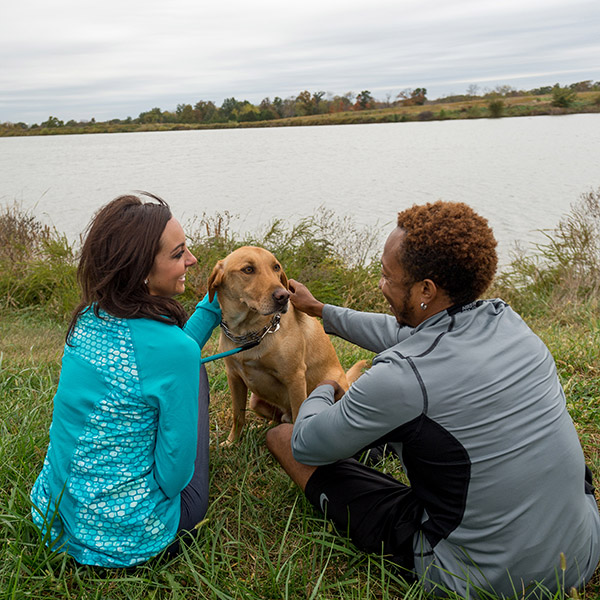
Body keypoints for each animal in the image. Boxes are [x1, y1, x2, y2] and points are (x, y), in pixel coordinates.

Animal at [206, 245, 366, 446]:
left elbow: (299, 415)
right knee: (278, 419)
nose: (284, 296)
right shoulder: (234, 377)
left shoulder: (295, 377)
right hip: (255, 401)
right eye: (248, 269)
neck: (248, 331)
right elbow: (238, 415)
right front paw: (232, 442)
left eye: (276, 267)